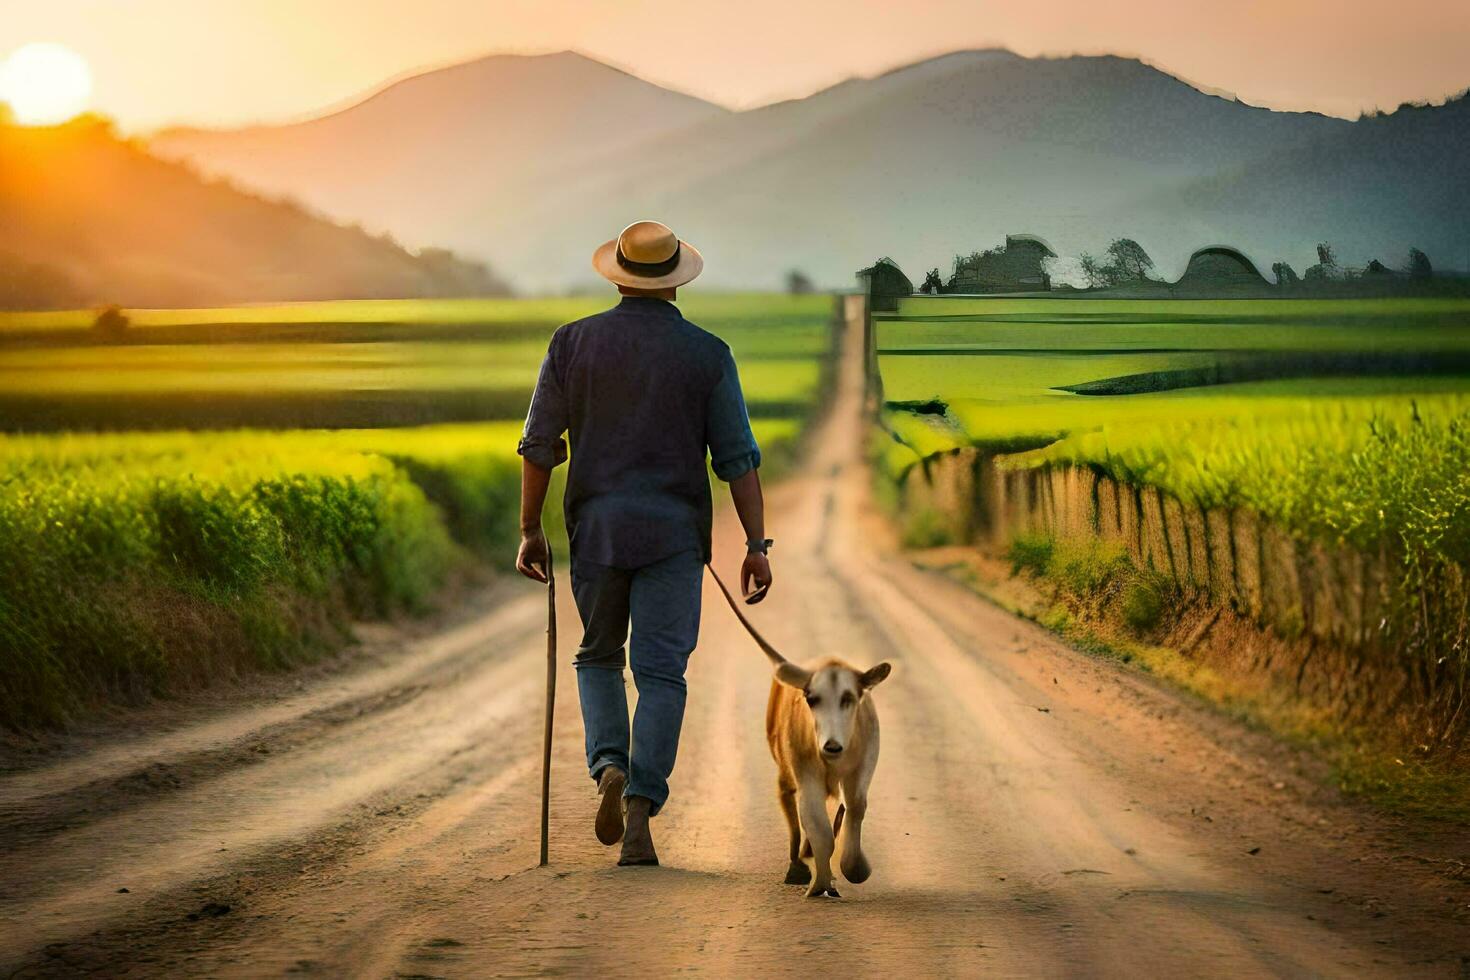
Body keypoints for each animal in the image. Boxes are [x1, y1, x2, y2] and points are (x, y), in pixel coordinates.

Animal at [764, 658, 887, 899]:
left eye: (849, 698)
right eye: (812, 699)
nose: (832, 746)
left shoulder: (862, 767)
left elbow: (853, 808)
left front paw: (854, 869)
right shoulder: (804, 775)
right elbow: (816, 826)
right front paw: (816, 882)